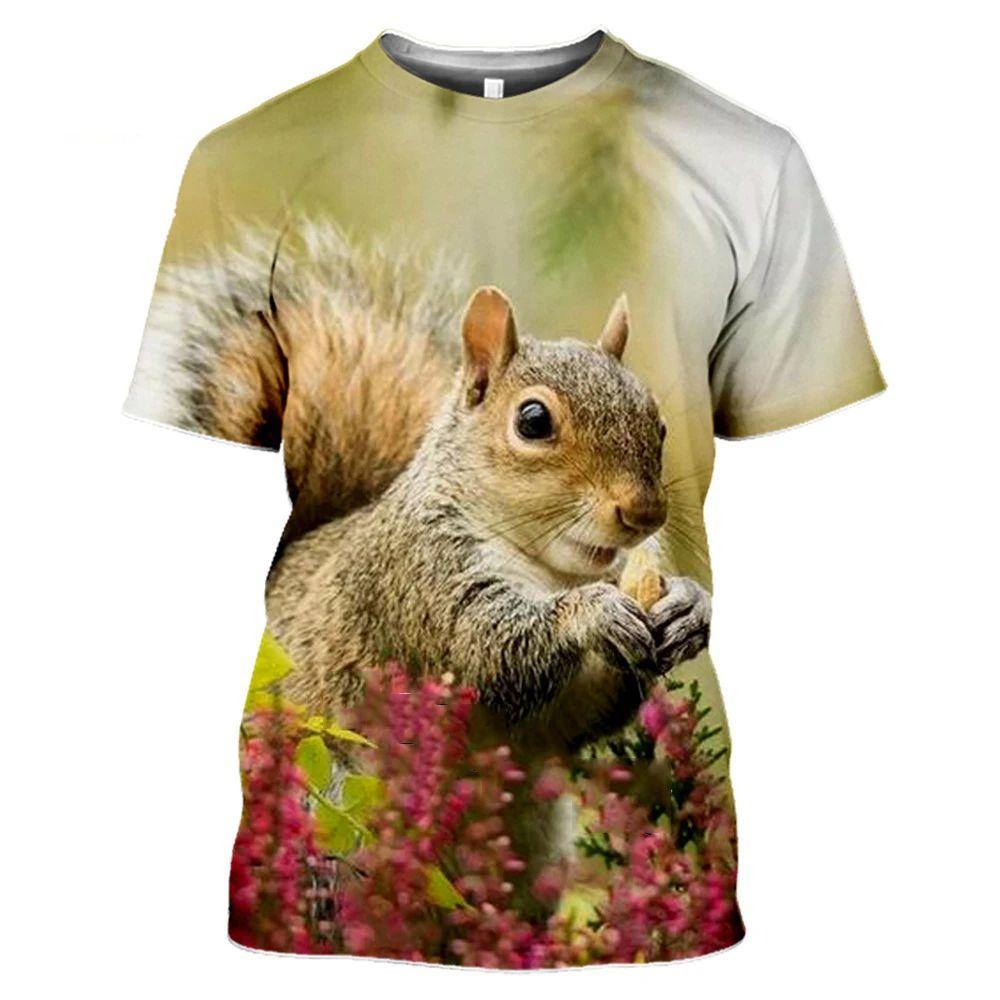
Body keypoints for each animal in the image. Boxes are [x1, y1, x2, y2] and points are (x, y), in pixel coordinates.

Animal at [144, 222, 711, 755]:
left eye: (658, 422)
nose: (644, 513)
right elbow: (486, 651)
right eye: (533, 421)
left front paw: (691, 605)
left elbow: (596, 704)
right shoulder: (421, 574)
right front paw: (591, 612)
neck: (554, 571)